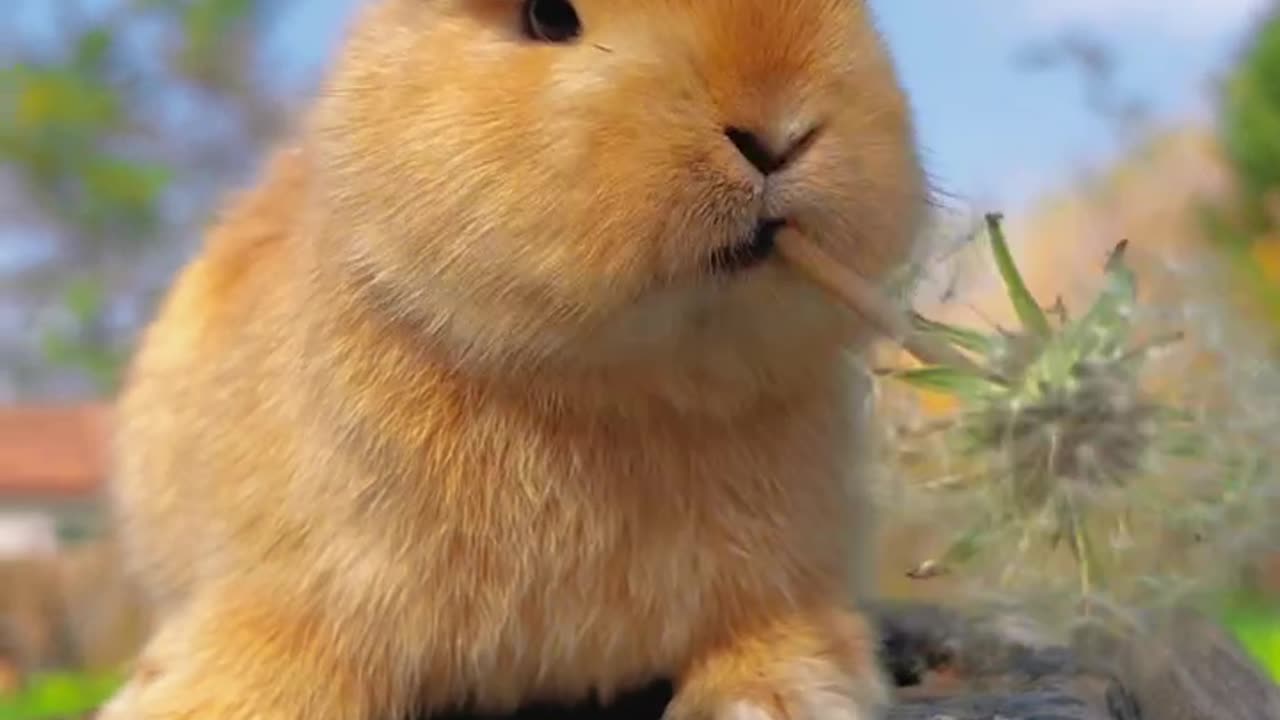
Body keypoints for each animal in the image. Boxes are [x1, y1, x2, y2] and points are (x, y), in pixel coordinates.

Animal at [97, 0, 921, 712]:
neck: (605, 393)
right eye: (548, 16)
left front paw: (779, 696)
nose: (776, 133)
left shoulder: (790, 575)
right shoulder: (305, 576)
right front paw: (182, 700)